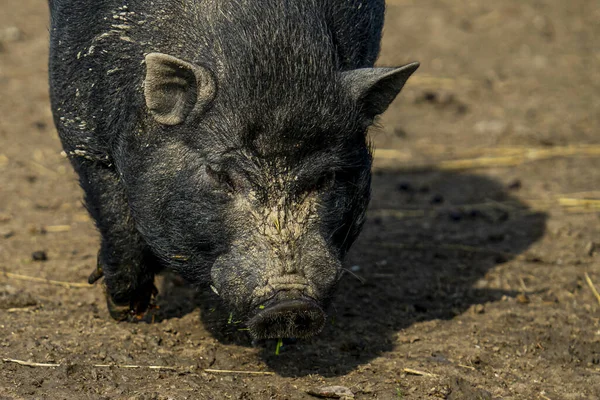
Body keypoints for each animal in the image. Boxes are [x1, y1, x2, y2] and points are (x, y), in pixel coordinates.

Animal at [48, 0, 418, 340]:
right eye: (220, 174)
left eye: (326, 177)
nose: (291, 304)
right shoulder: (81, 132)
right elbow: (117, 219)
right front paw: (128, 311)